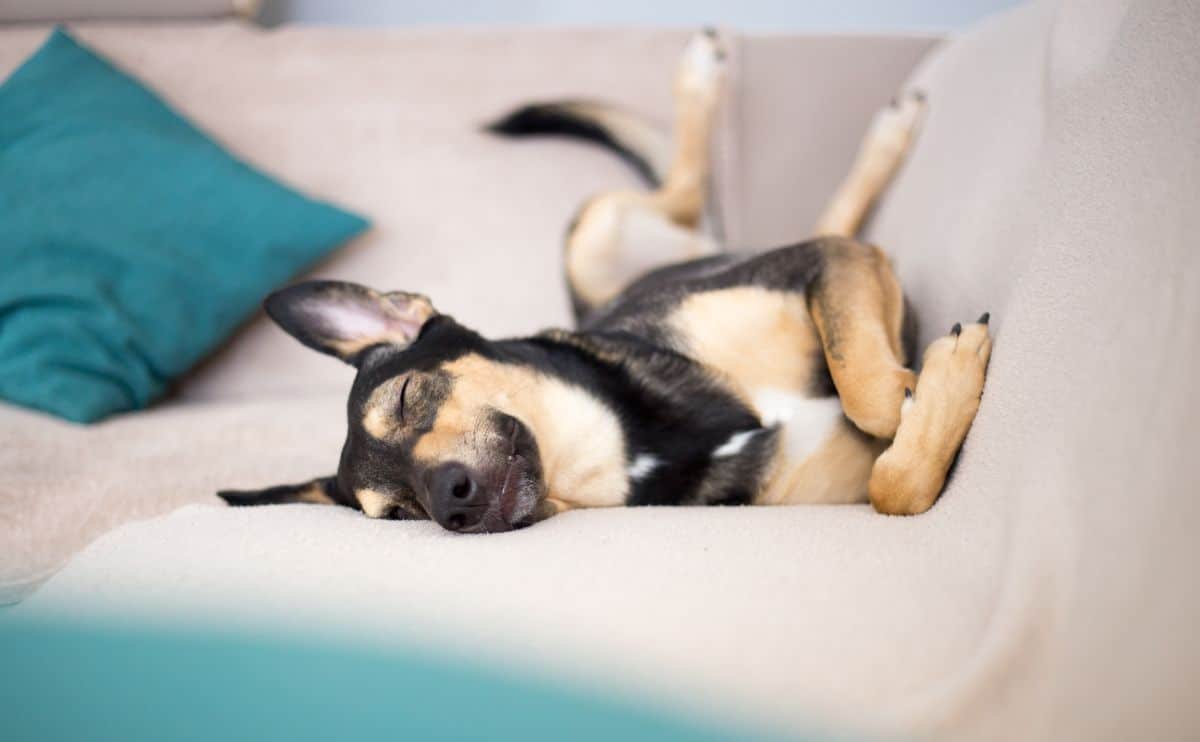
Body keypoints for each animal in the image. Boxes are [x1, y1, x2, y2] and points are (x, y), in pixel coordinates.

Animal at [220, 27, 988, 525]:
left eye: (407, 399)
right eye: (400, 515)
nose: (450, 504)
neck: (629, 450)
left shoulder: (820, 263)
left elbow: (871, 395)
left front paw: (932, 378)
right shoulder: (840, 483)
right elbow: (894, 486)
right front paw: (941, 388)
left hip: (597, 227)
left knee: (708, 194)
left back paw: (726, 79)